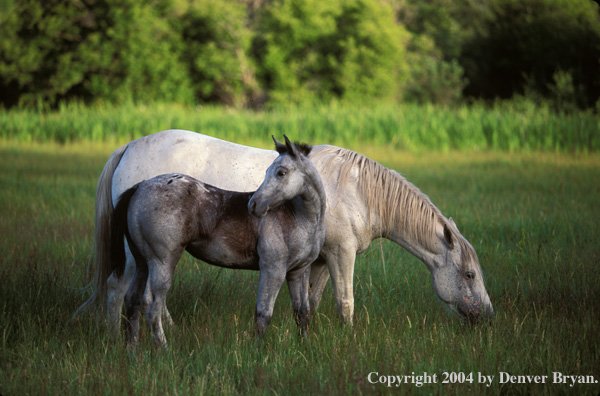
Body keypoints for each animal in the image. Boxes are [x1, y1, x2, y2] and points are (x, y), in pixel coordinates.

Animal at [108, 136, 324, 346]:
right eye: (268, 171)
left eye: (281, 172)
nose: (253, 205)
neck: (299, 217)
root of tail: (140, 187)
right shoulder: (273, 270)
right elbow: (263, 316)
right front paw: (257, 352)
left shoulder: (298, 272)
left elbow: (302, 313)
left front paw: (306, 346)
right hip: (162, 262)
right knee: (152, 305)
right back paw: (163, 348)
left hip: (142, 262)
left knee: (132, 300)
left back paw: (133, 349)